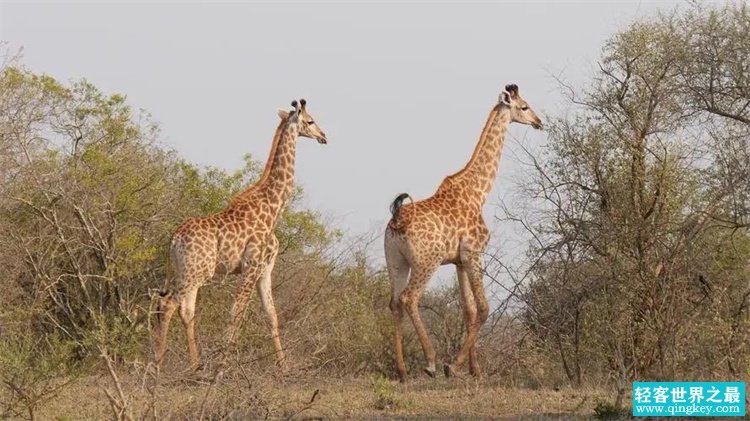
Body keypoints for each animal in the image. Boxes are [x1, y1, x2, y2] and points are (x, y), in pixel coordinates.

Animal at [154, 97, 328, 368]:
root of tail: (174, 239)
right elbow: (236, 313)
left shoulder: (265, 269)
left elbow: (271, 315)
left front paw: (284, 368)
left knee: (186, 311)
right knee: (168, 304)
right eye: (310, 121)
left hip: (186, 271)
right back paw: (158, 365)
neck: (273, 209)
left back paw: (195, 365)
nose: (324, 136)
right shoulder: (251, 267)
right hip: (197, 271)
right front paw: (222, 365)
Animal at [384, 83, 544, 378]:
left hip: (396, 260)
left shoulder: (458, 260)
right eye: (524, 106)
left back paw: (401, 371)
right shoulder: (474, 252)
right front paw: (454, 366)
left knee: (395, 302)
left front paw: (474, 368)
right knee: (410, 298)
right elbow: (483, 308)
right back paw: (431, 362)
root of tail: (397, 220)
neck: (478, 192)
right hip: (426, 261)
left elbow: (468, 309)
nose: (539, 122)